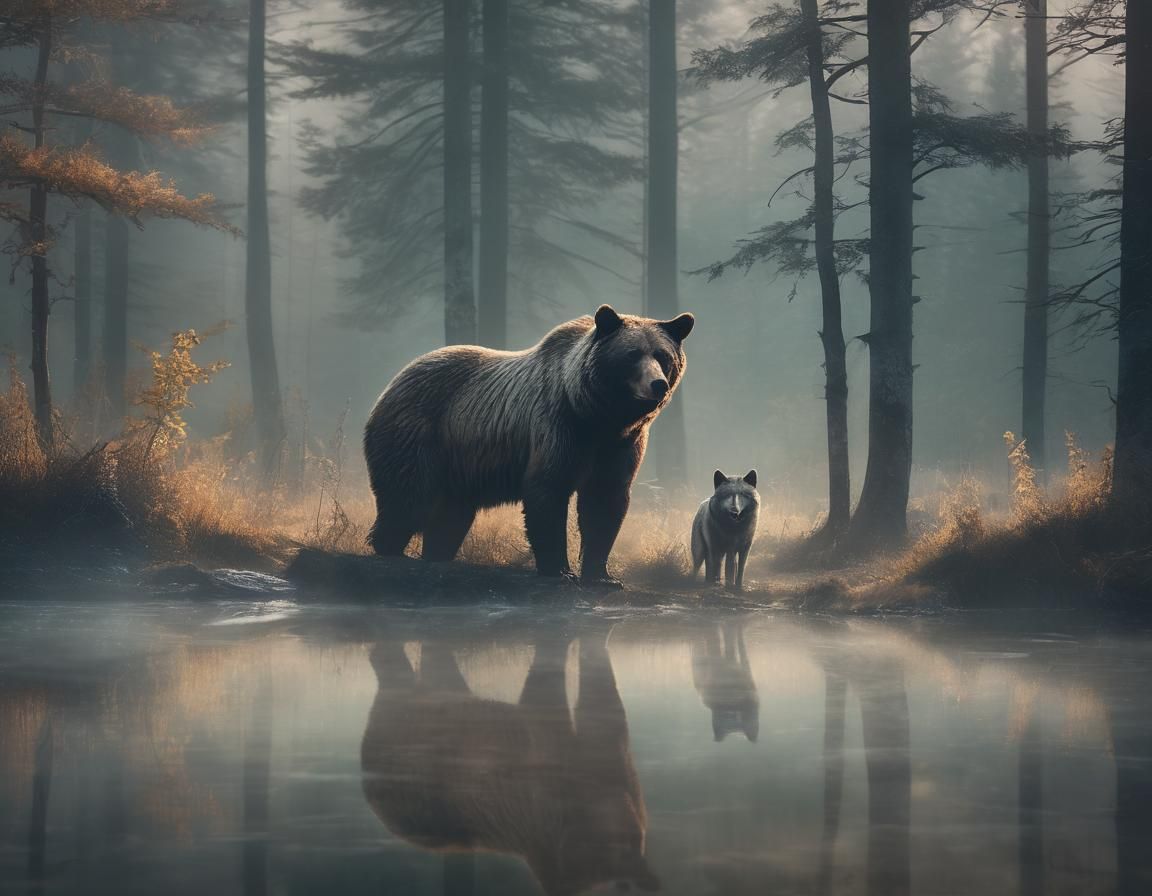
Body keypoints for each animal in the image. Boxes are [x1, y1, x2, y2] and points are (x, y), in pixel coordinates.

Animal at [363, 304, 694, 586]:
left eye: (663, 356)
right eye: (632, 354)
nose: (657, 384)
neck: (597, 416)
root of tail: (394, 380)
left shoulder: (619, 445)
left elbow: (605, 500)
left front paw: (602, 576)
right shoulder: (558, 425)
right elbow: (547, 489)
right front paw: (560, 570)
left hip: (460, 464)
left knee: (449, 517)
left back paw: (436, 555)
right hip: (420, 433)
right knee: (408, 496)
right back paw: (391, 550)